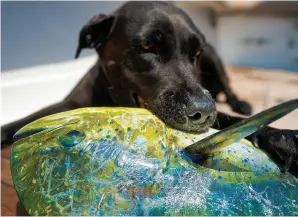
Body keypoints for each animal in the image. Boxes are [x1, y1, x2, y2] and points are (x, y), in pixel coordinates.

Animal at [1, 1, 296, 176]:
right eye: (146, 46)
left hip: (215, 61)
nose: (203, 111)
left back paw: (241, 103)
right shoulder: (67, 105)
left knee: (229, 90)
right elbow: (24, 120)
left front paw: (279, 136)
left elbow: (232, 120)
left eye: (195, 53)